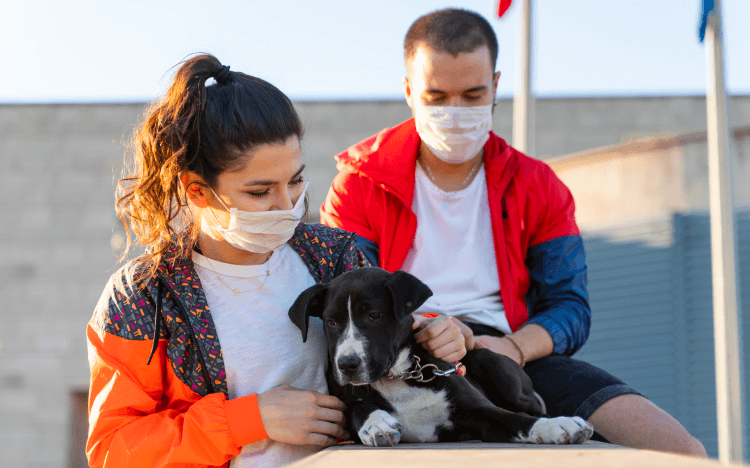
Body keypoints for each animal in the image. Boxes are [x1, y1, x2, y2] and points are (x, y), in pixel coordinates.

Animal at [290, 266, 596, 446]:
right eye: (331, 322)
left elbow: (518, 419)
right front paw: (375, 422)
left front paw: (556, 425)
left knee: (530, 406)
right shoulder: (344, 402)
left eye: (374, 315)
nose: (347, 365)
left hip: (493, 365)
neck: (400, 377)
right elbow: (356, 408)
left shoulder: (482, 412)